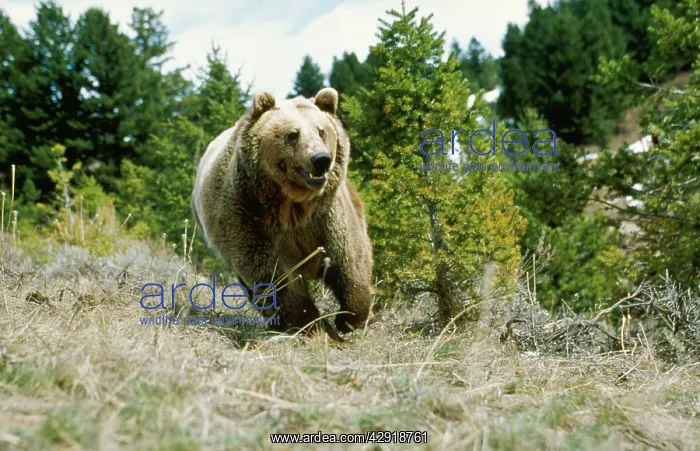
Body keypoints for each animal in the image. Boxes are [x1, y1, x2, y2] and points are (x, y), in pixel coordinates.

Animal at [192, 87, 373, 339]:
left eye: (321, 131)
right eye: (292, 134)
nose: (321, 159)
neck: (293, 203)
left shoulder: (327, 216)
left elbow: (349, 262)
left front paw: (350, 319)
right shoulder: (248, 218)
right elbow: (276, 279)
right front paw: (313, 326)